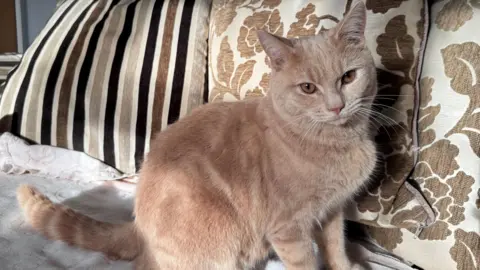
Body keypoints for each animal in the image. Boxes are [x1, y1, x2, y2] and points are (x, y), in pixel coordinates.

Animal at [16, 2, 378, 270]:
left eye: (348, 77)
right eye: (308, 88)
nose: (336, 106)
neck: (333, 142)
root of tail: (137, 225)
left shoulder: (332, 212)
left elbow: (336, 248)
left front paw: (345, 266)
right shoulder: (289, 228)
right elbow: (306, 261)